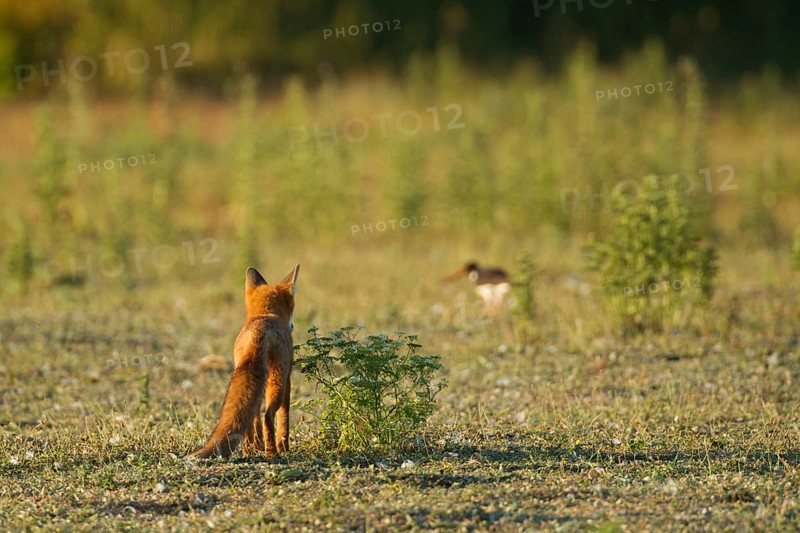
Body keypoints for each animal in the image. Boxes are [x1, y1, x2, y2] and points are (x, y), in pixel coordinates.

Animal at [190, 265, 300, 459]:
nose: (292, 326)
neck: (265, 313)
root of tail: (259, 330)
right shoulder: (288, 379)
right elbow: (284, 418)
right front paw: (284, 447)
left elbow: (254, 417)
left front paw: (257, 446)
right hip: (277, 381)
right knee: (268, 416)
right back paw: (272, 453)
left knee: (251, 417)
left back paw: (249, 450)